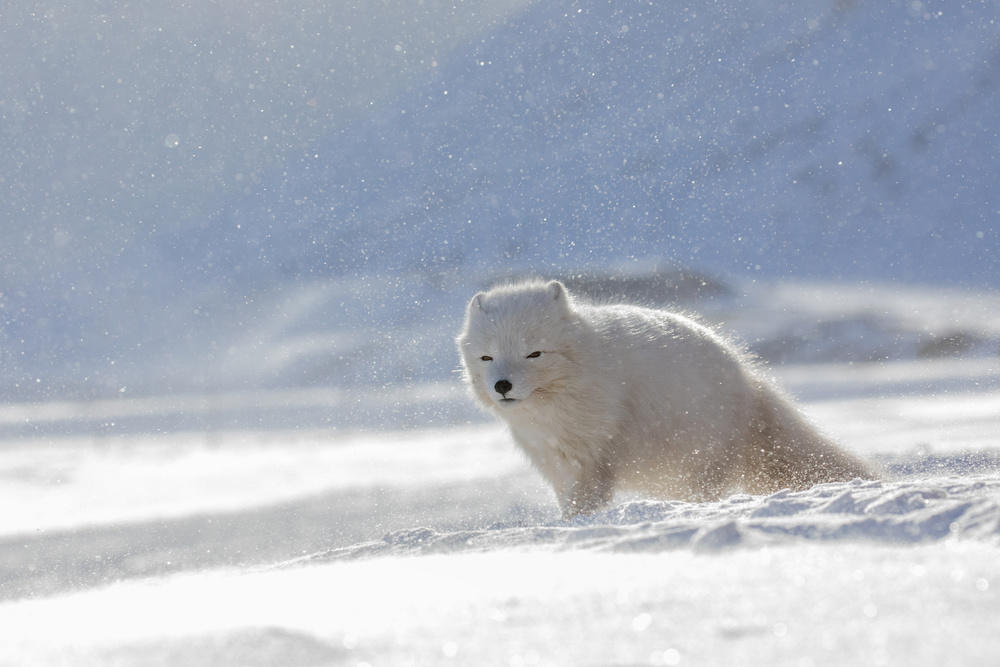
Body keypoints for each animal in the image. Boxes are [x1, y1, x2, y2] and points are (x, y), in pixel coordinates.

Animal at [458, 280, 880, 520]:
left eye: (534, 353)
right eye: (487, 357)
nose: (502, 385)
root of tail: (747, 376)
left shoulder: (594, 455)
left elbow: (585, 501)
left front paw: (575, 527)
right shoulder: (553, 460)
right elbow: (568, 500)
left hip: (702, 459)